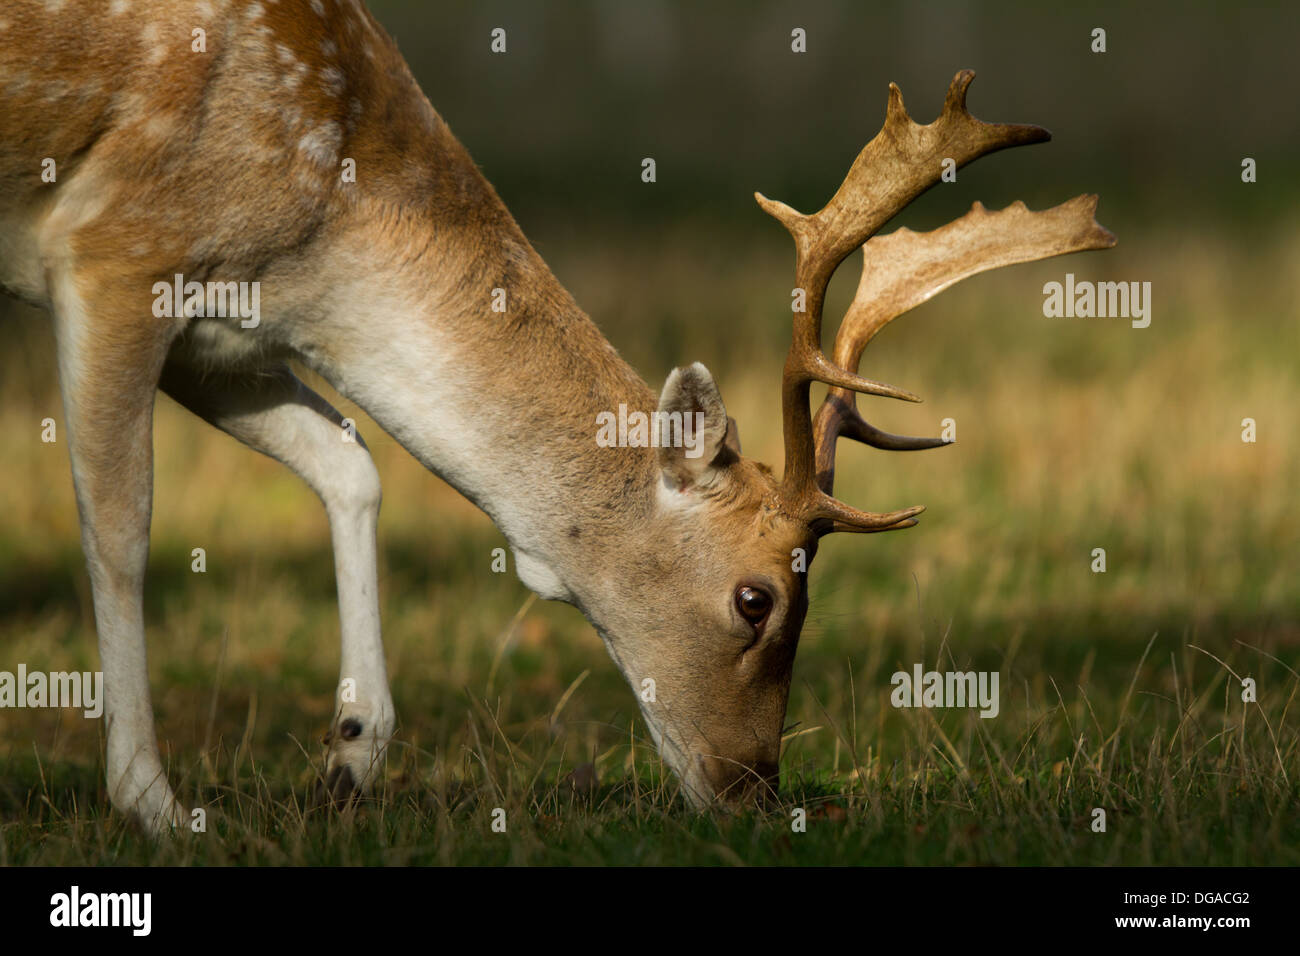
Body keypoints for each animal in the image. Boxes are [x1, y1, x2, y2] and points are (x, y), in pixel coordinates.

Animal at [0, 0, 1114, 833]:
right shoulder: (115, 248)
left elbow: (351, 463)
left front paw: (349, 761)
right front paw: (152, 802)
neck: (318, 250)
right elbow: (120, 526)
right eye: (757, 598)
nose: (753, 790)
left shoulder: (221, 343)